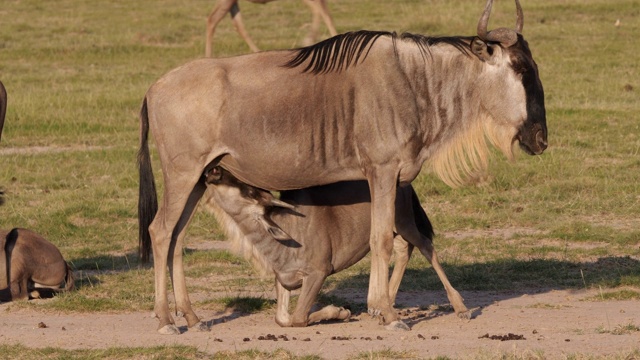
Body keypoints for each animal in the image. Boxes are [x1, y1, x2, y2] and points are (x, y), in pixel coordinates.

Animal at [202, 166, 468, 330]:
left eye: (248, 189)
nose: (214, 170)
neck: (286, 232)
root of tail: (403, 183)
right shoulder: (284, 280)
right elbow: (282, 319)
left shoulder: (318, 273)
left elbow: (298, 318)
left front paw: (340, 312)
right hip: (397, 227)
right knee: (401, 250)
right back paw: (382, 307)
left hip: (404, 222)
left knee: (425, 246)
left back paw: (460, 307)